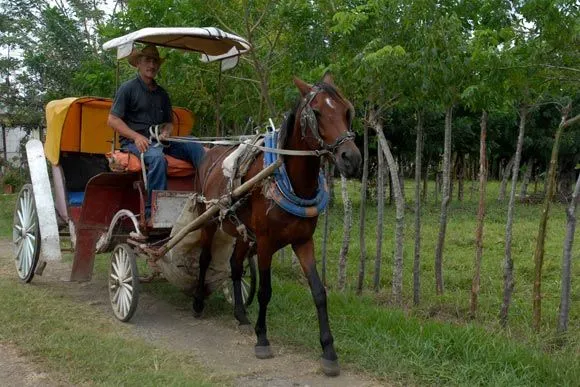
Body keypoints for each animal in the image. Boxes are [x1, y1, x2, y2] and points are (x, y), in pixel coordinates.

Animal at [193, 73, 360, 376]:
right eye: (316, 113)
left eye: (346, 111)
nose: (351, 158)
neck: (290, 180)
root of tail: (210, 152)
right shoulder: (266, 243)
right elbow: (265, 291)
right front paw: (262, 339)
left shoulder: (303, 241)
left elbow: (319, 292)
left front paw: (329, 351)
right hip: (210, 219)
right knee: (204, 259)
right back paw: (198, 302)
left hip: (242, 231)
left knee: (236, 266)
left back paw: (240, 314)